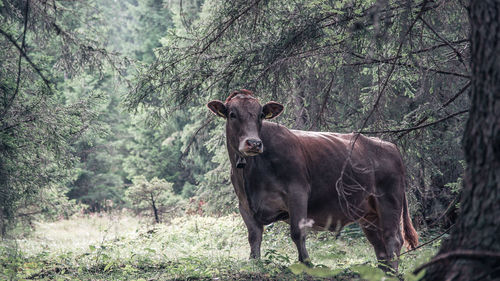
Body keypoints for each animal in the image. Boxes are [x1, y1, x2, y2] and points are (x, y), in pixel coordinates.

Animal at [207, 88, 418, 270]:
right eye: (232, 114)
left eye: (260, 115)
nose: (254, 143)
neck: (252, 174)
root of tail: (389, 146)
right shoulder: (244, 204)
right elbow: (254, 236)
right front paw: (254, 262)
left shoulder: (297, 192)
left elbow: (297, 232)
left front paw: (306, 264)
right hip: (368, 214)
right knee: (379, 246)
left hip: (389, 201)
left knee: (393, 239)